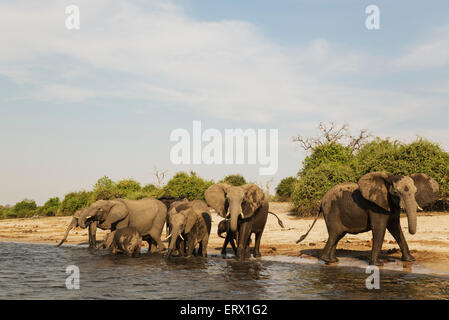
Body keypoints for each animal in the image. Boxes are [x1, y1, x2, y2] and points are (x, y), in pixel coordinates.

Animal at [296, 172, 440, 264]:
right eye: (395, 193)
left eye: (415, 192)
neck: (388, 179)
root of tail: (321, 202)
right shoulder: (376, 206)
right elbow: (380, 230)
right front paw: (377, 264)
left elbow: (396, 229)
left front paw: (410, 260)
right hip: (331, 210)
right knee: (335, 234)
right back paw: (326, 259)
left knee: (337, 235)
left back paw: (333, 260)